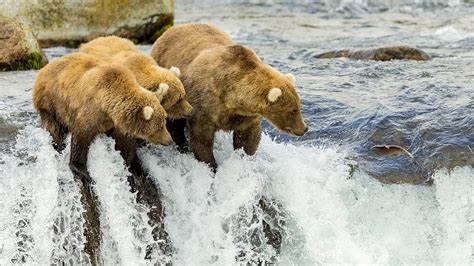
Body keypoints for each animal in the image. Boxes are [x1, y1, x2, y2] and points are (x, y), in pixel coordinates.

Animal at [32, 51, 172, 181]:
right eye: (159, 127)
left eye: (164, 122)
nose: (169, 140)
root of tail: (44, 69)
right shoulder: (91, 110)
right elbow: (81, 136)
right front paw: (81, 170)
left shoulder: (118, 123)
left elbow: (126, 145)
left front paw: (137, 170)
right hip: (50, 102)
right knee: (54, 128)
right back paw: (58, 144)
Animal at [150, 22, 310, 168]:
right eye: (293, 110)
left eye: (298, 106)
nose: (304, 128)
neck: (231, 97)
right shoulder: (204, 105)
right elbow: (201, 138)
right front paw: (211, 164)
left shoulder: (246, 116)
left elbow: (247, 139)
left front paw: (245, 157)